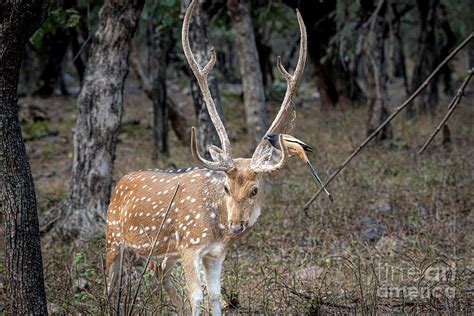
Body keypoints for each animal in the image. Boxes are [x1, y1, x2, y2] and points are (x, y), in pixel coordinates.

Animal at [105, 1, 308, 314]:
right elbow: (197, 296)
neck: (216, 227)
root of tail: (119, 183)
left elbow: (214, 295)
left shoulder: (215, 254)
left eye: (255, 189)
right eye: (225, 187)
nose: (236, 225)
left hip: (164, 251)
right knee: (108, 283)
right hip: (113, 237)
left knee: (158, 273)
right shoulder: (190, 246)